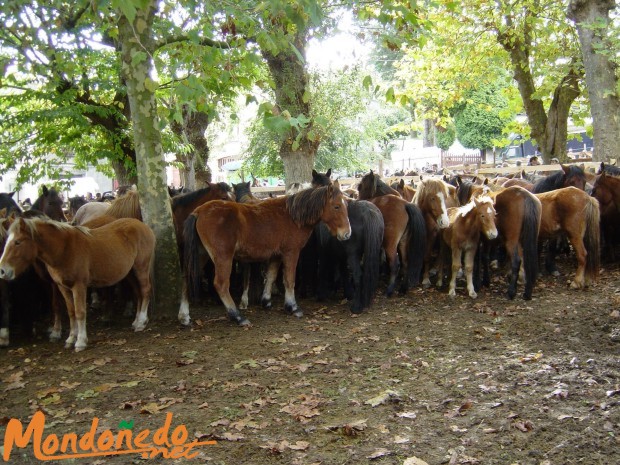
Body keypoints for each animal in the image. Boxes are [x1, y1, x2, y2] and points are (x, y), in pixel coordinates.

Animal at [0, 219, 157, 350]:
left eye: (18, 242)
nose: (2, 270)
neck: (64, 249)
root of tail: (143, 226)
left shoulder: (79, 285)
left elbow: (80, 312)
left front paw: (81, 341)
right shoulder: (62, 287)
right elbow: (71, 312)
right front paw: (70, 339)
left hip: (141, 267)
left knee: (145, 290)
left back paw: (141, 322)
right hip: (130, 272)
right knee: (138, 293)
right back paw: (137, 321)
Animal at [182, 185, 352, 326]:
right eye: (336, 206)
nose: (347, 234)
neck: (292, 216)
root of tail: (199, 211)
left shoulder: (276, 255)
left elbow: (271, 276)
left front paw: (266, 301)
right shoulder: (291, 252)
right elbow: (289, 280)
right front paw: (292, 306)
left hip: (201, 255)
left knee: (186, 279)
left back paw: (184, 316)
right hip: (223, 257)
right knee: (221, 284)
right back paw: (237, 316)